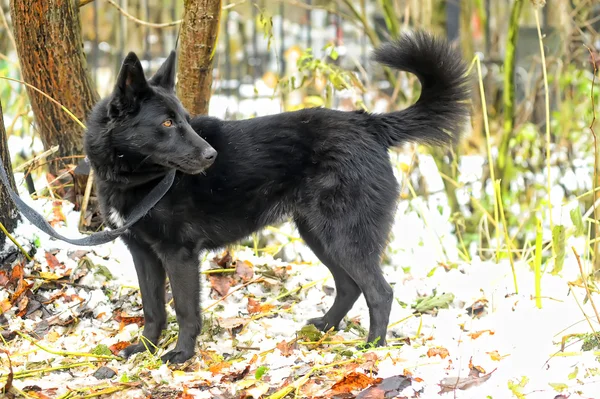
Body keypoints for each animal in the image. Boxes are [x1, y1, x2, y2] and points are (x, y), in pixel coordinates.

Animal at [83, 32, 468, 366]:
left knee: (380, 292)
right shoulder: (143, 253)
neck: (140, 180)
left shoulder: (180, 255)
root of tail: (370, 124)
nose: (211, 156)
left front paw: (182, 354)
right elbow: (153, 308)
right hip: (319, 235)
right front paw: (144, 348)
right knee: (348, 286)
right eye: (166, 123)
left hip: (345, 237)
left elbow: (185, 309)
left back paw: (371, 349)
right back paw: (326, 327)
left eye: (185, 121)